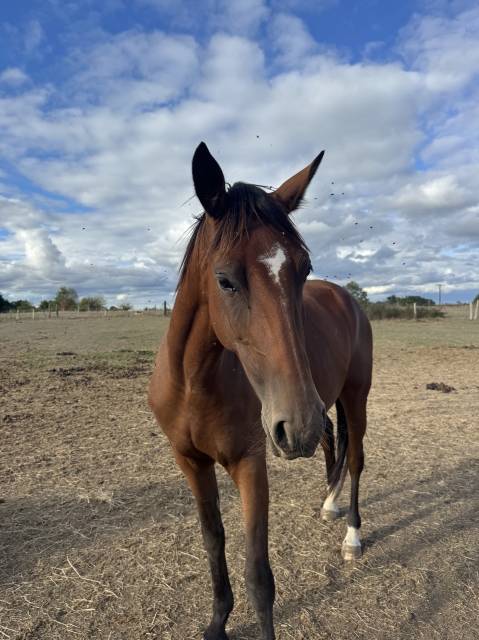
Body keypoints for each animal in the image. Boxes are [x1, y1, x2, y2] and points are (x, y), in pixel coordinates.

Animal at [148, 142, 373, 640]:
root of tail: (346, 298)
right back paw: (328, 504)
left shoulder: (250, 462)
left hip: (352, 395)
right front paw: (217, 621)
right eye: (225, 279)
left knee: (355, 458)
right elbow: (213, 542)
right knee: (332, 443)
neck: (195, 382)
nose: (298, 423)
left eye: (303, 269)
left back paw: (352, 534)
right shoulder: (190, 462)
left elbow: (259, 577)